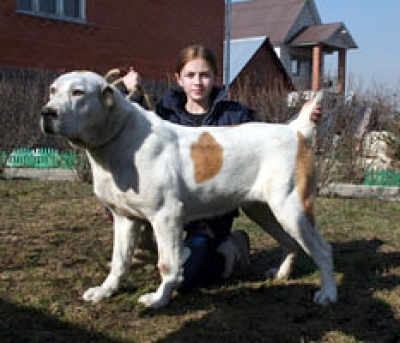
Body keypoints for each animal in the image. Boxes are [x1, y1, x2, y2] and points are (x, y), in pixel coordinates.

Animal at [40, 70, 336, 310]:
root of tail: (295, 131)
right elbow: (119, 260)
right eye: (53, 90)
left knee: (322, 250)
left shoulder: (166, 217)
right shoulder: (125, 219)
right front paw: (106, 290)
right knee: (291, 243)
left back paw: (328, 294)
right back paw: (282, 273)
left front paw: (159, 299)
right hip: (263, 211)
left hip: (292, 210)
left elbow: (168, 265)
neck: (120, 136)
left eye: (78, 92)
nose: (47, 113)